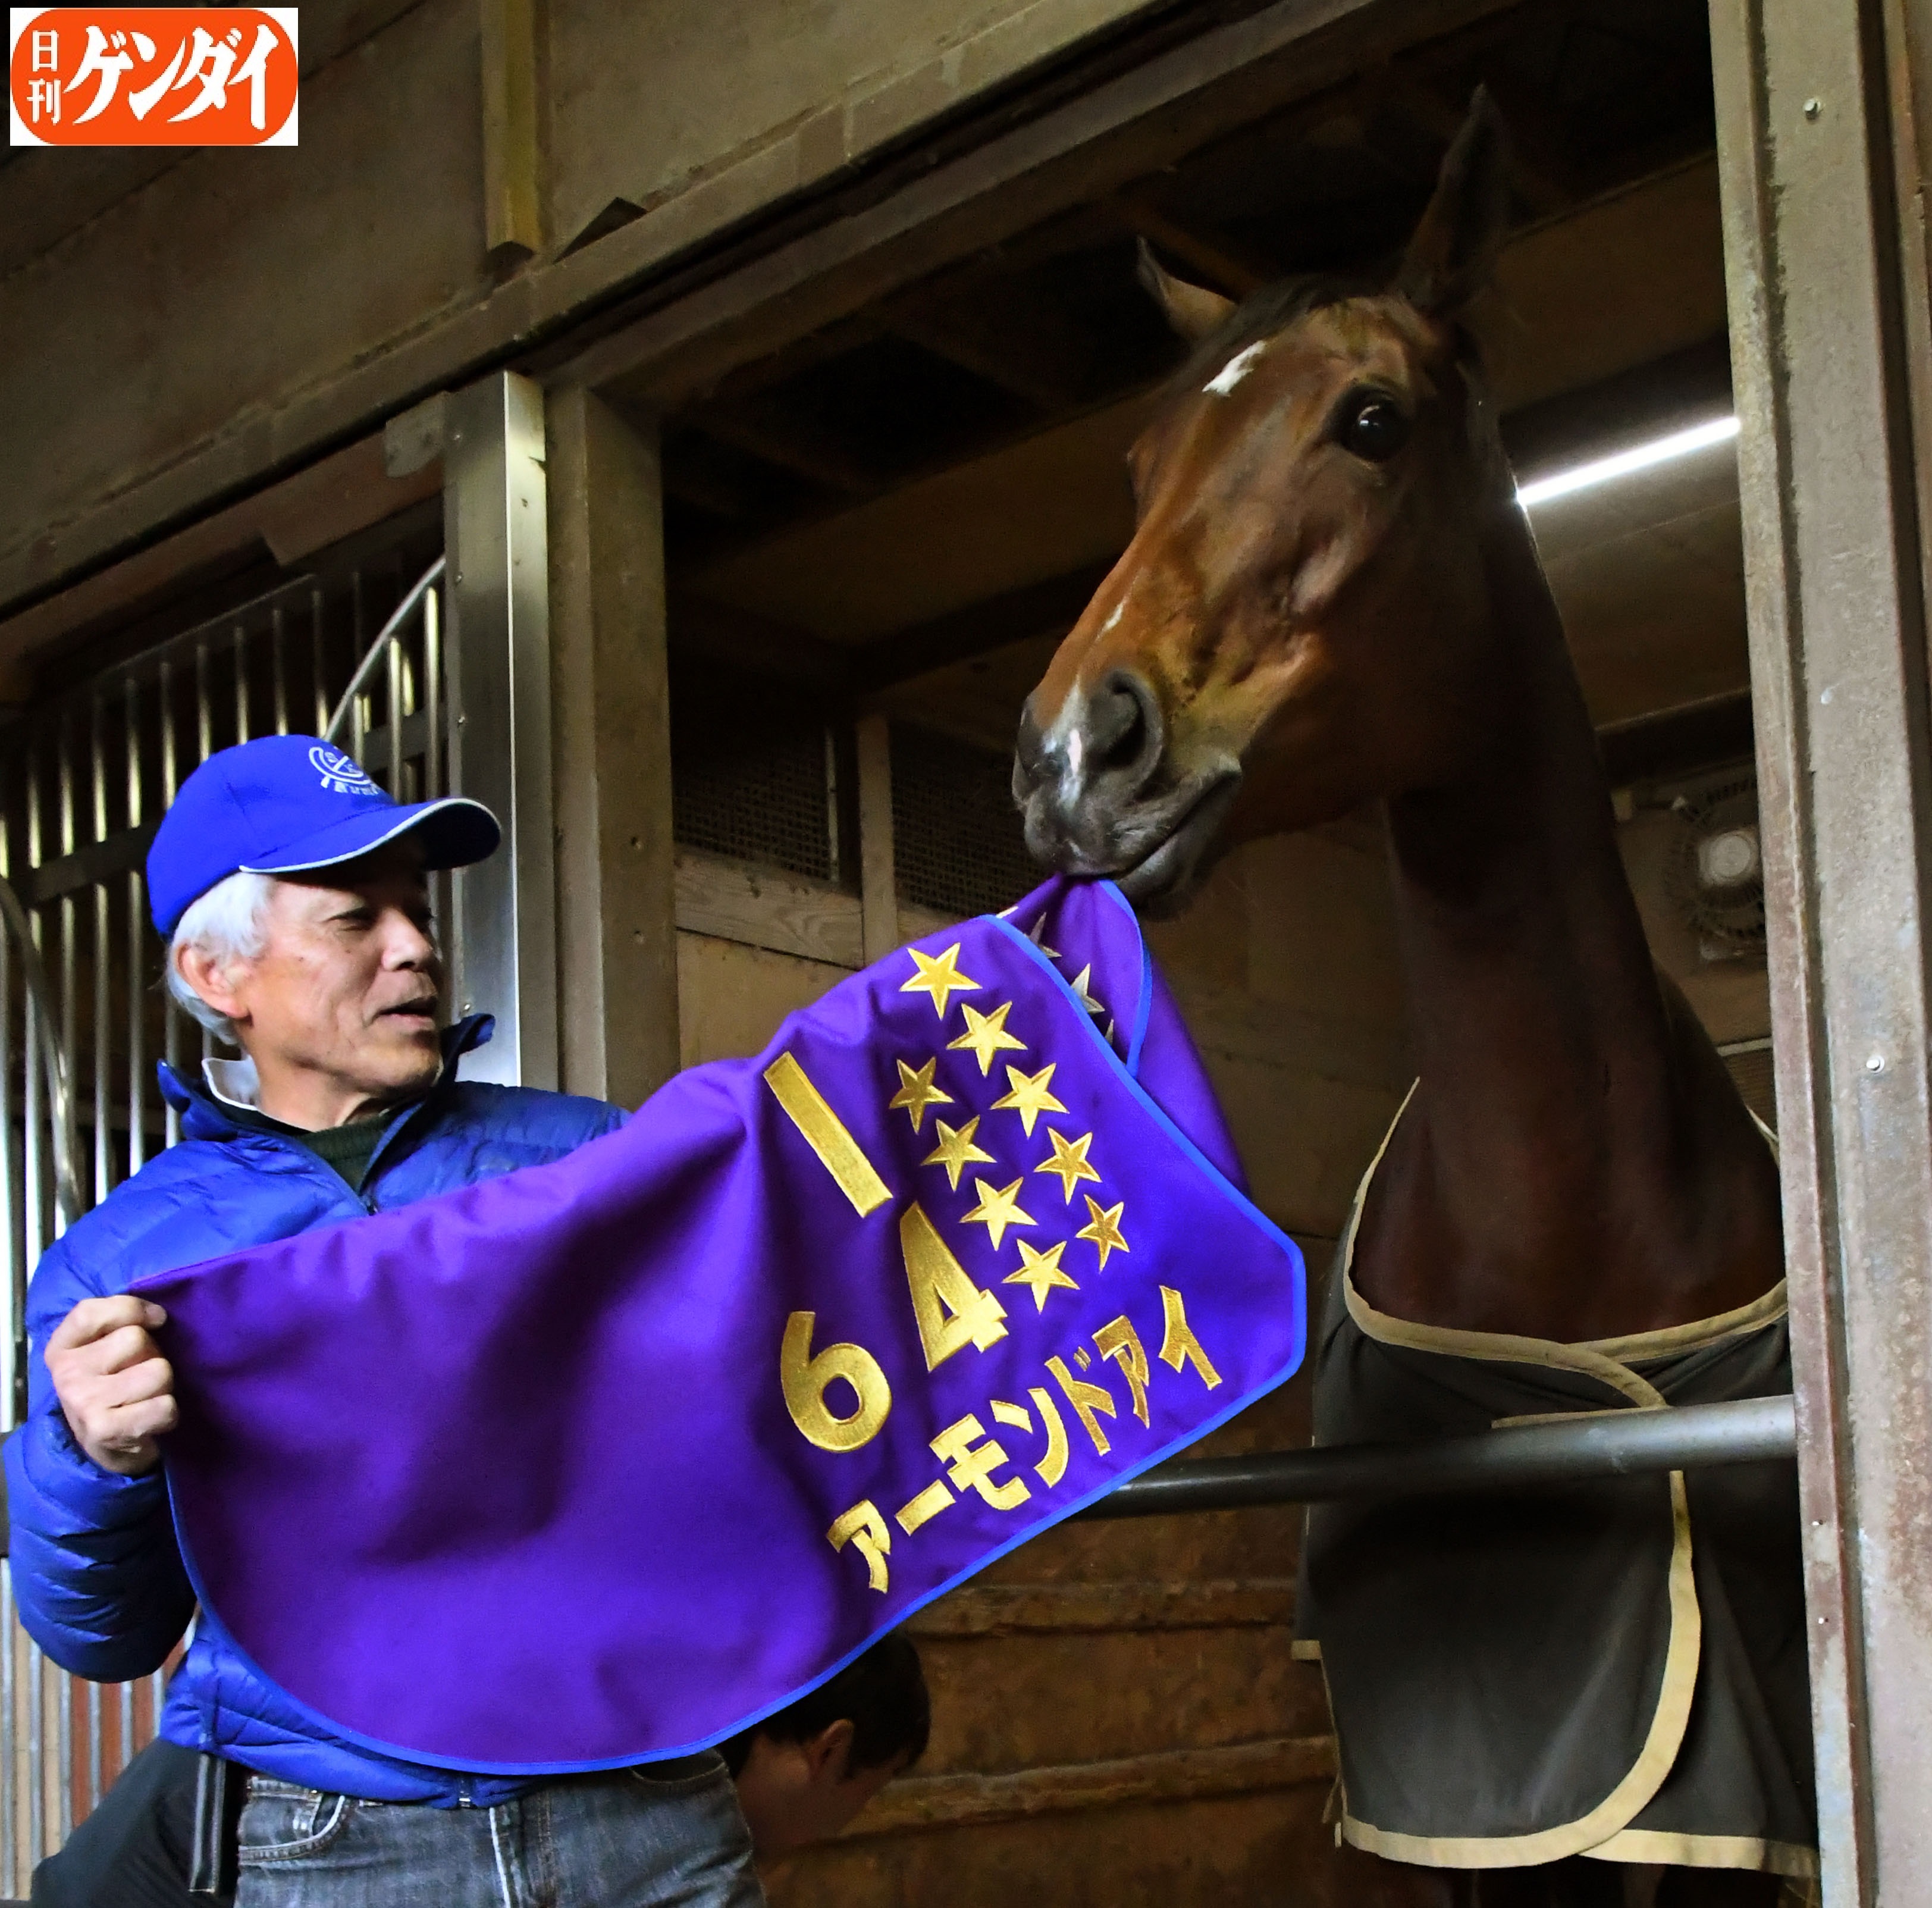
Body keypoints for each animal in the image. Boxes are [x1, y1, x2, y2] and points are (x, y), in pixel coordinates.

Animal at [1013, 94, 1811, 1908]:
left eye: (1369, 420)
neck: (1565, 1239)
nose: (1076, 757)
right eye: (1140, 467)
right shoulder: (1468, 1802)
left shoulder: (1697, 1796)